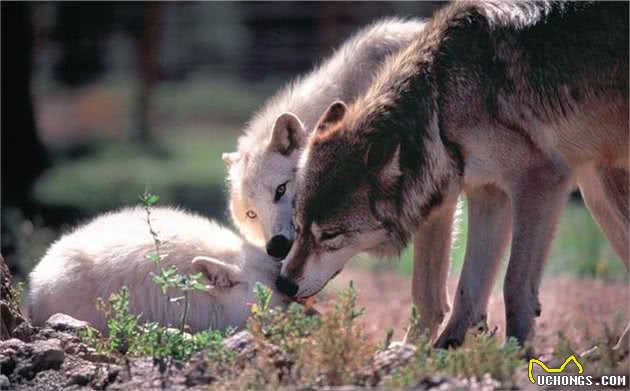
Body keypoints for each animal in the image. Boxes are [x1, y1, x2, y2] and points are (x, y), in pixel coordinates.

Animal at [278, 0, 628, 350]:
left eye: (330, 235)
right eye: (298, 227)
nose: (283, 284)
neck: (441, 103)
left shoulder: (539, 180)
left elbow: (513, 284)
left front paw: (514, 352)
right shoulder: (490, 194)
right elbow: (466, 290)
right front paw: (442, 350)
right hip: (597, 190)